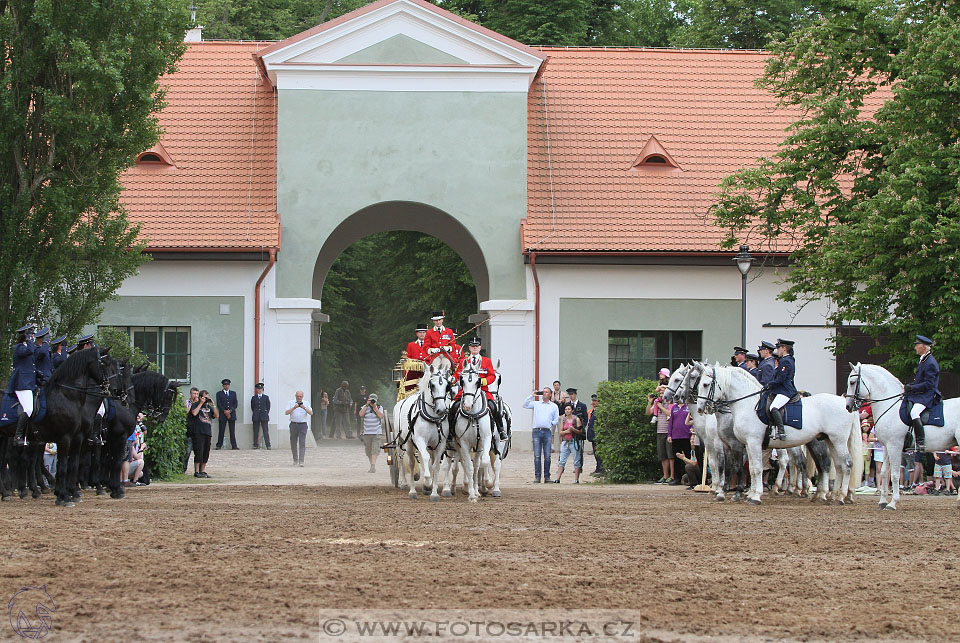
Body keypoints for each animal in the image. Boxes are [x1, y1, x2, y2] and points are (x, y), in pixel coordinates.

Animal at [392, 368, 452, 504]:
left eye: (447, 386)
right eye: (432, 385)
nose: (441, 410)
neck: (433, 418)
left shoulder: (441, 444)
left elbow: (436, 465)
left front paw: (434, 493)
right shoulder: (420, 440)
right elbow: (425, 458)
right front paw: (427, 483)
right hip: (404, 442)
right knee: (407, 461)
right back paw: (409, 488)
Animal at [696, 364, 864, 506]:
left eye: (705, 385)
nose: (700, 408)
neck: (747, 404)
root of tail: (845, 403)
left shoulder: (750, 443)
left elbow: (754, 468)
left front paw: (754, 497)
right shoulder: (748, 445)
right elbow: (751, 468)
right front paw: (750, 494)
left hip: (837, 440)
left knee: (845, 464)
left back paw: (838, 497)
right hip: (829, 440)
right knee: (838, 465)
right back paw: (831, 496)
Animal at [844, 364, 956, 510]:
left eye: (852, 382)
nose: (848, 406)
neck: (890, 407)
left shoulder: (895, 446)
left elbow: (895, 474)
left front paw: (892, 503)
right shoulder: (887, 447)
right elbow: (884, 472)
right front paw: (882, 502)